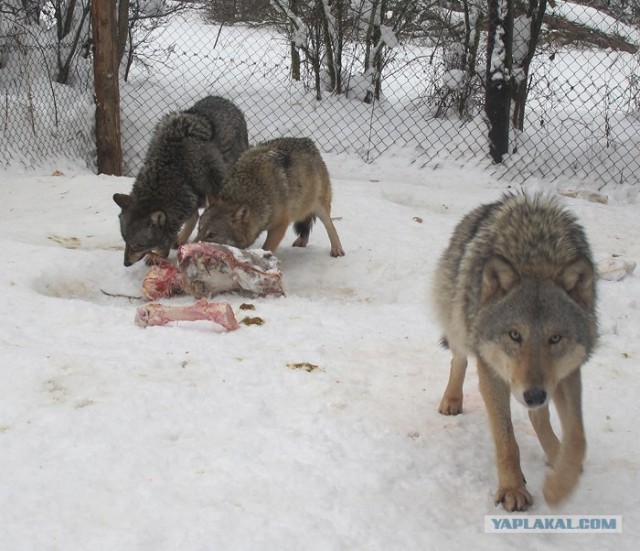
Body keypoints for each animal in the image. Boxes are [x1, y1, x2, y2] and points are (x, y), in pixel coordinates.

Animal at [112, 95, 248, 268]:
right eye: (125, 241)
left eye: (138, 245)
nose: (126, 263)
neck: (174, 167)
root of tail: (222, 99)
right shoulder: (190, 196)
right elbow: (193, 217)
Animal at [195, 138, 344, 258]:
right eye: (199, 229)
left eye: (212, 235)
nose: (190, 245)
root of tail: (309, 142)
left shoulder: (280, 225)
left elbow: (266, 248)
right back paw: (302, 241)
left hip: (319, 207)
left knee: (330, 225)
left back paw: (337, 249)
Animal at [432, 193, 596, 512]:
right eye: (515, 335)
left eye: (555, 338)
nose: (533, 395)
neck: (537, 259)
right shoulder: (492, 371)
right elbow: (506, 441)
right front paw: (512, 488)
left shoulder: (567, 371)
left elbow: (577, 437)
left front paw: (559, 485)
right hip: (458, 322)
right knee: (458, 358)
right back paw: (452, 400)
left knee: (539, 418)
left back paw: (553, 451)